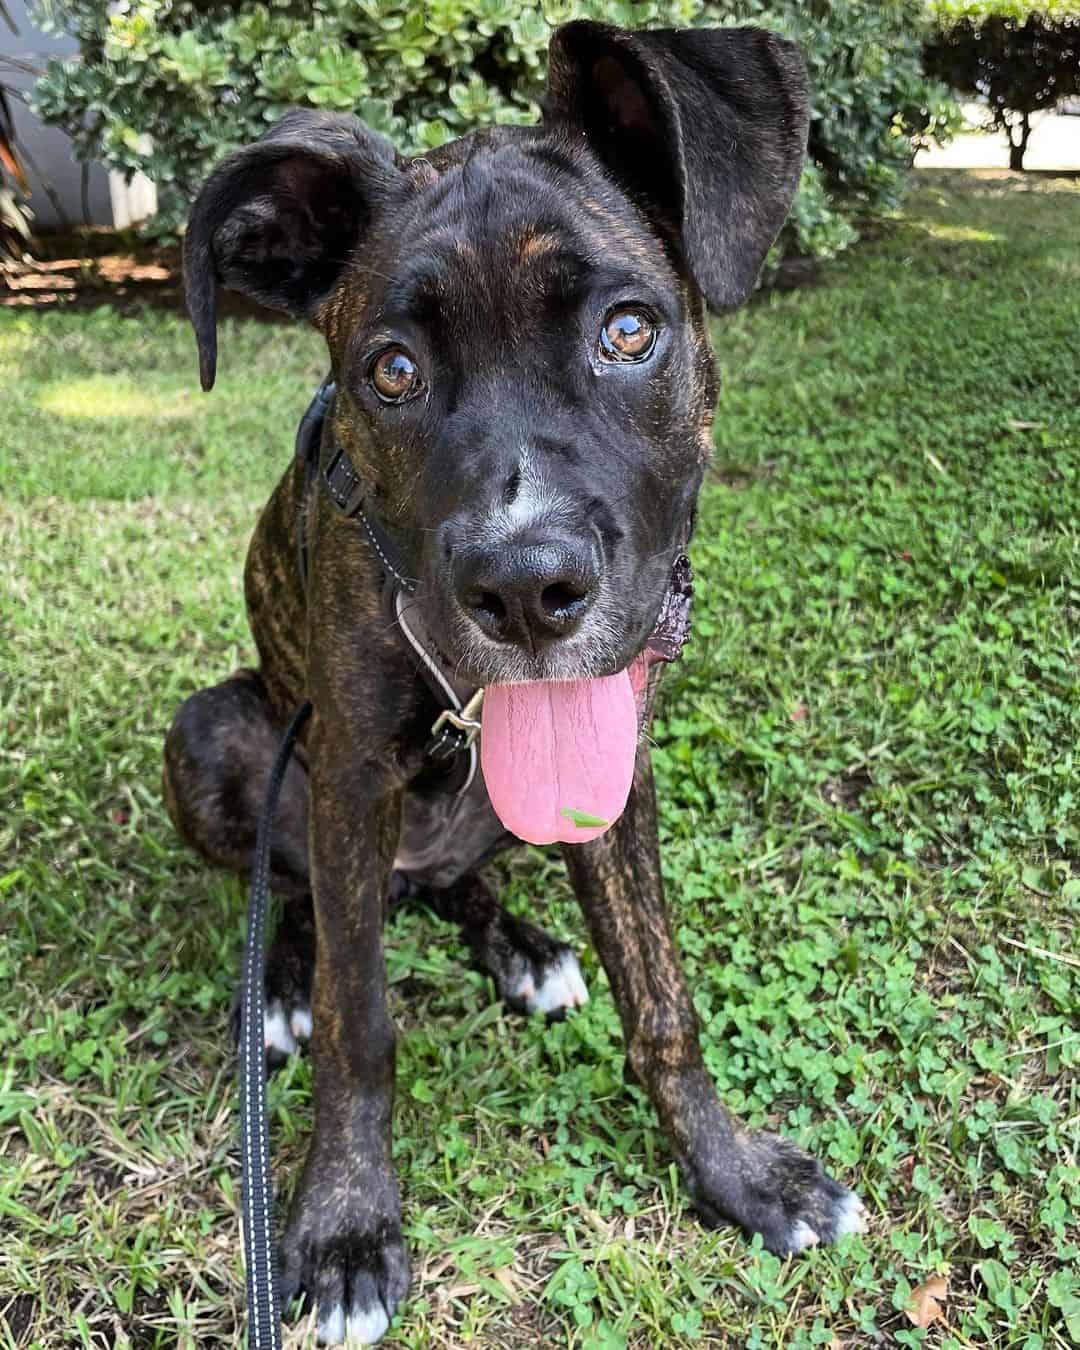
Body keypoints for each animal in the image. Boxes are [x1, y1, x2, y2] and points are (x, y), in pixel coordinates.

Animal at [162, 15, 869, 1344]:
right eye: (390, 370)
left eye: (629, 333)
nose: (527, 589)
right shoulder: (345, 775)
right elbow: (360, 1024)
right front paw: (345, 1225)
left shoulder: (615, 771)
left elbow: (663, 996)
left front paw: (737, 1173)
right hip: (220, 735)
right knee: (298, 900)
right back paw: (277, 987)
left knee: (464, 888)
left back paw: (524, 947)